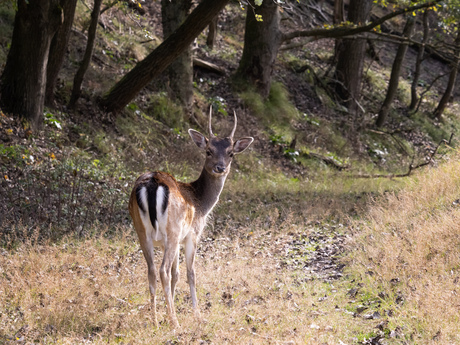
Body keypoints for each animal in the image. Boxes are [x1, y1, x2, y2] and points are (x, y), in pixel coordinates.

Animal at [127, 106, 253, 326]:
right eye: (209, 151)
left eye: (230, 153)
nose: (220, 167)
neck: (201, 202)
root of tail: (151, 183)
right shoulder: (192, 234)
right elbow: (190, 272)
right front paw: (197, 313)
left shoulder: (174, 242)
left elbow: (176, 274)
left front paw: (169, 309)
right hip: (173, 230)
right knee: (162, 270)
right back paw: (175, 323)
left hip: (141, 231)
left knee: (151, 270)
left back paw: (155, 320)